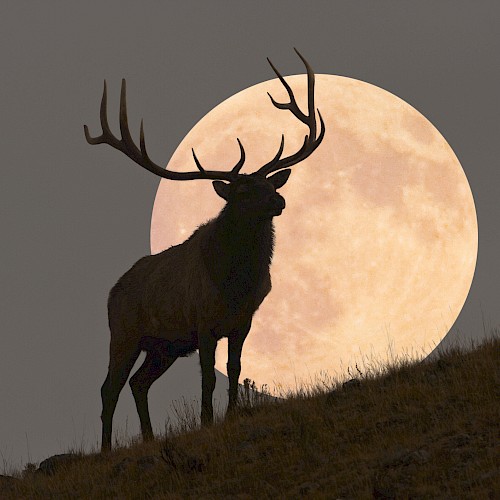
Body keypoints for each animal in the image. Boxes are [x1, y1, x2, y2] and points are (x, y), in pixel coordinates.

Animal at [83, 48, 324, 452]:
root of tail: (111, 292)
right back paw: (105, 449)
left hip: (164, 346)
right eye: (242, 191)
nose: (278, 200)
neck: (235, 283)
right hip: (124, 332)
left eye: (268, 183)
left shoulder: (243, 320)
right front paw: (207, 421)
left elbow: (235, 370)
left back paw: (149, 438)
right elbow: (208, 379)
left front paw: (231, 415)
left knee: (138, 383)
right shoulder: (204, 321)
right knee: (108, 389)